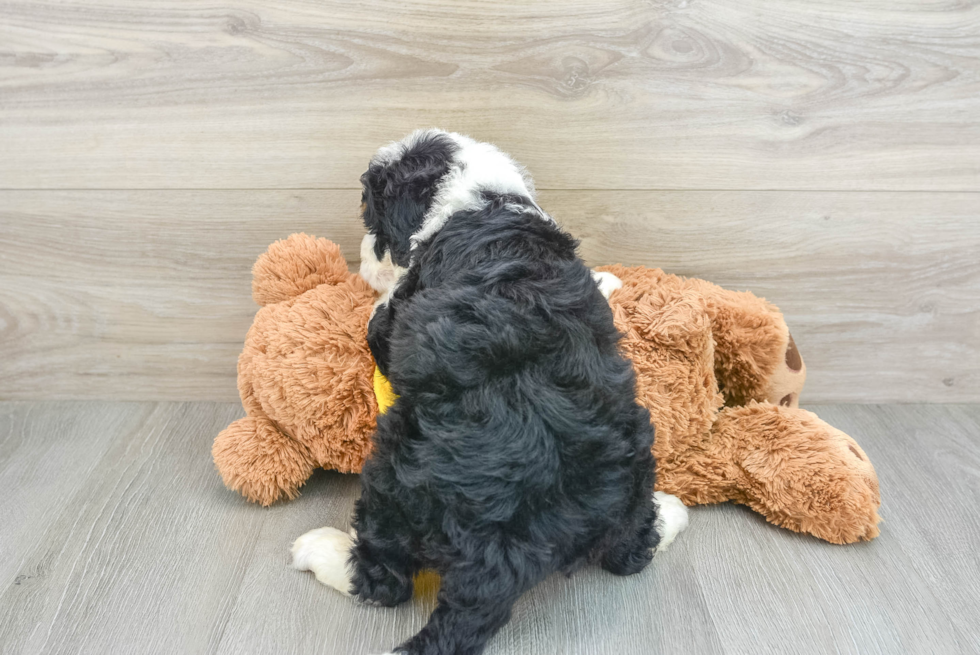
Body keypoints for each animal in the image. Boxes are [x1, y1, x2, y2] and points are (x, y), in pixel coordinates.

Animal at [290, 129, 688, 655]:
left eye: (372, 219)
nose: (361, 258)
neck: (479, 200)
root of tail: (500, 559)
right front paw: (609, 280)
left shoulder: (390, 321)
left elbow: (378, 321)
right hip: (634, 454)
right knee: (630, 550)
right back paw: (671, 512)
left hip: (394, 473)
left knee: (383, 577)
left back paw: (319, 549)